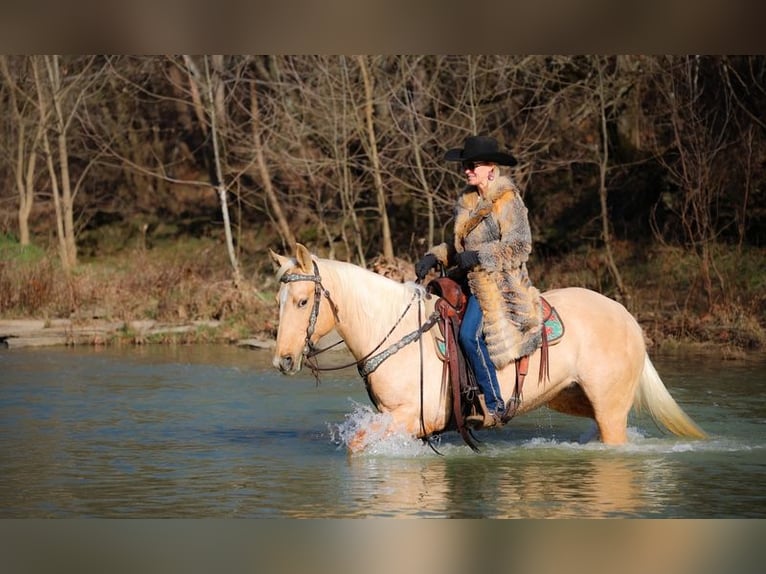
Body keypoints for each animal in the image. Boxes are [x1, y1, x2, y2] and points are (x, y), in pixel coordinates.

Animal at [270, 243, 706, 453]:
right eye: (279, 299)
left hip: (609, 405)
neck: (397, 334)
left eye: (303, 301)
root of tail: (627, 316)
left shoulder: (411, 417)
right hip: (571, 396)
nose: (283, 360)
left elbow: (357, 446)